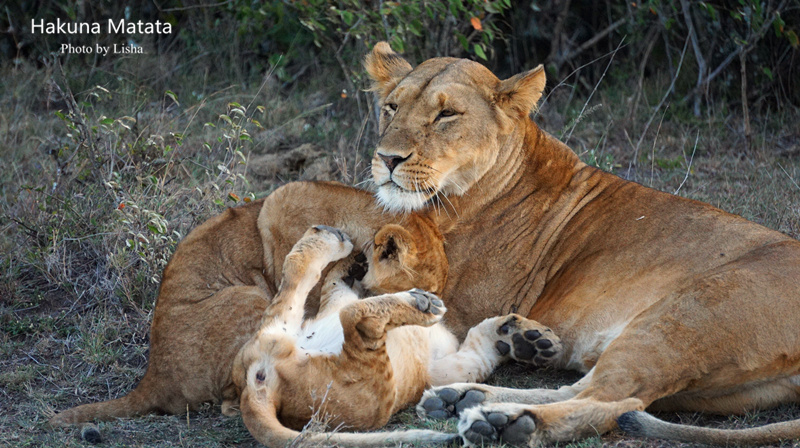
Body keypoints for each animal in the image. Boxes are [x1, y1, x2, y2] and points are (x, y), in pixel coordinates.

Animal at [360, 41, 800, 444]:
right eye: (392, 107)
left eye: (446, 114)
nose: (388, 158)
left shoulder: (461, 307)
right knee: (583, 388)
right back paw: (464, 396)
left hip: (683, 317)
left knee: (613, 403)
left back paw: (506, 422)